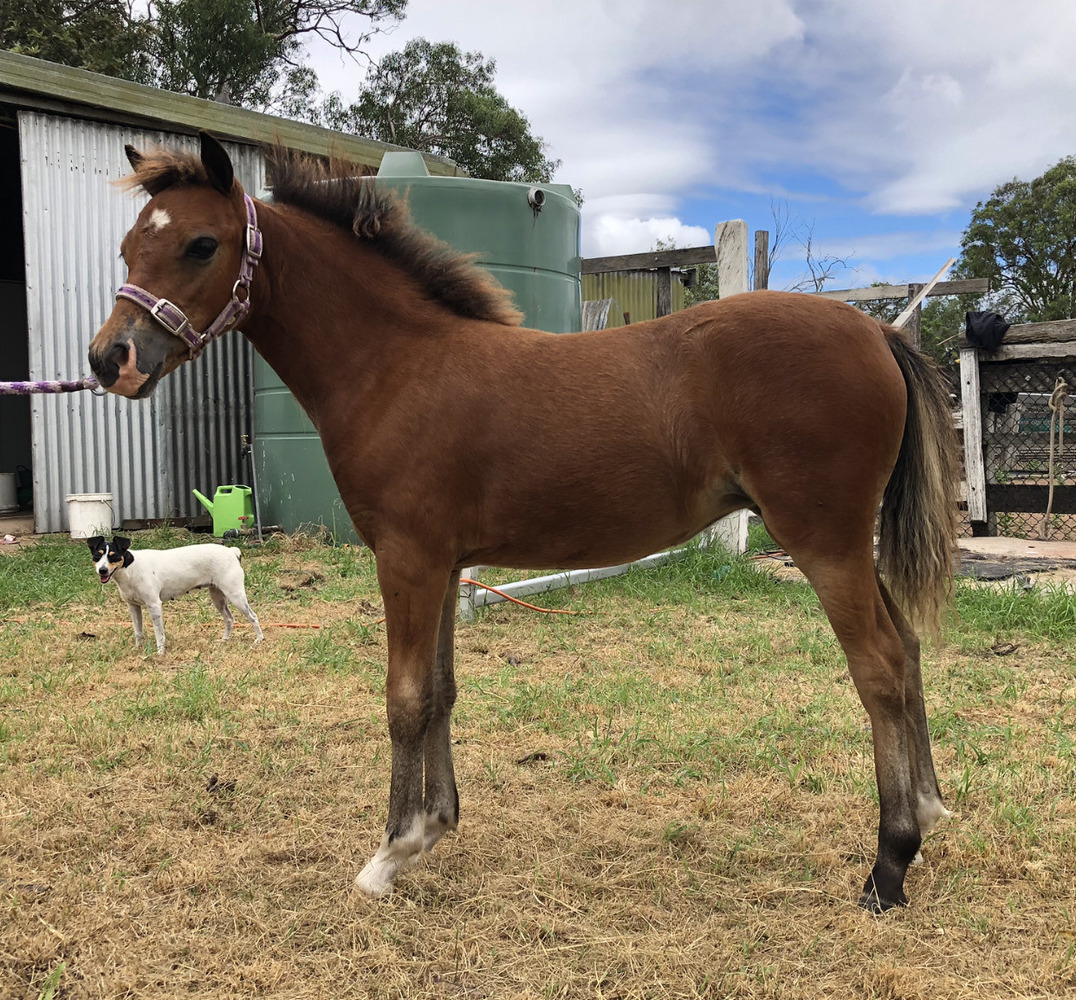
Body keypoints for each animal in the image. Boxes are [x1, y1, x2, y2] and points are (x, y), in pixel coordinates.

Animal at [88, 132, 959, 912]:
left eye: (202, 244)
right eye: (130, 246)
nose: (109, 360)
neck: (396, 367)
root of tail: (876, 328)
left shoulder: (405, 558)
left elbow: (404, 697)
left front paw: (388, 855)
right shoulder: (440, 563)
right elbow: (441, 692)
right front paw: (434, 829)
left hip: (825, 542)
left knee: (881, 668)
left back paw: (889, 864)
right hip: (849, 547)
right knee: (910, 650)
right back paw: (928, 815)